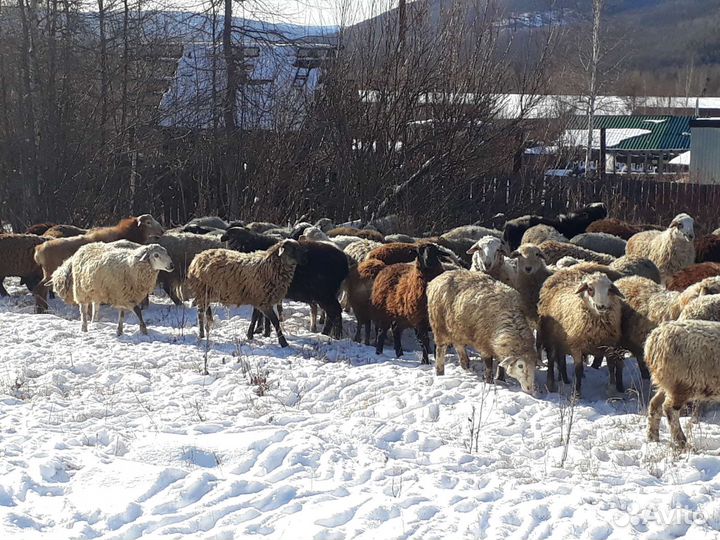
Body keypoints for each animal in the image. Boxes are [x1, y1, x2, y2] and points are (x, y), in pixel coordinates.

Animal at [33, 215, 165, 312]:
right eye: (148, 222)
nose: (162, 231)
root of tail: (39, 249)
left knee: (41, 288)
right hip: (51, 273)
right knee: (40, 288)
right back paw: (41, 309)